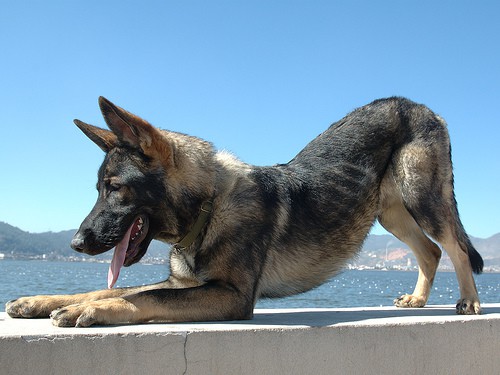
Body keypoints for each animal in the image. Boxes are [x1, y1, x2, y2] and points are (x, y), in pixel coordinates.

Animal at [6, 96, 484, 326]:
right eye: (98, 190)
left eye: (115, 189)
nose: (75, 243)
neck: (209, 205)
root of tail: (419, 105)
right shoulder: (186, 284)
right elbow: (107, 290)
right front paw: (41, 301)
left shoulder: (230, 295)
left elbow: (141, 296)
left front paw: (91, 311)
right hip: (391, 212)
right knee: (431, 251)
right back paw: (419, 300)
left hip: (421, 196)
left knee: (456, 246)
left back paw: (470, 301)